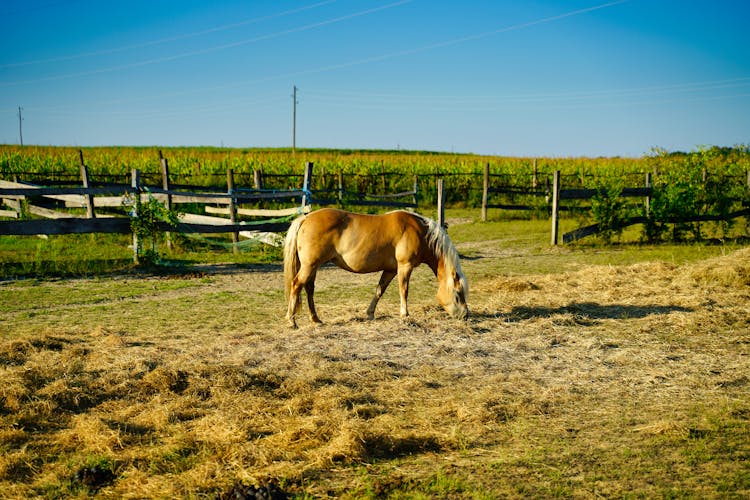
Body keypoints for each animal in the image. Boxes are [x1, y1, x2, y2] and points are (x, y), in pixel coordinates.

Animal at [284, 207, 468, 328]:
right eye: (457, 294)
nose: (466, 315)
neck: (420, 232)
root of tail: (305, 218)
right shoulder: (405, 266)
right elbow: (404, 290)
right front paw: (405, 315)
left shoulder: (390, 270)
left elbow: (380, 290)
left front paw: (370, 314)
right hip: (310, 266)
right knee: (296, 285)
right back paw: (292, 321)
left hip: (313, 267)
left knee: (309, 289)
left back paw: (315, 319)